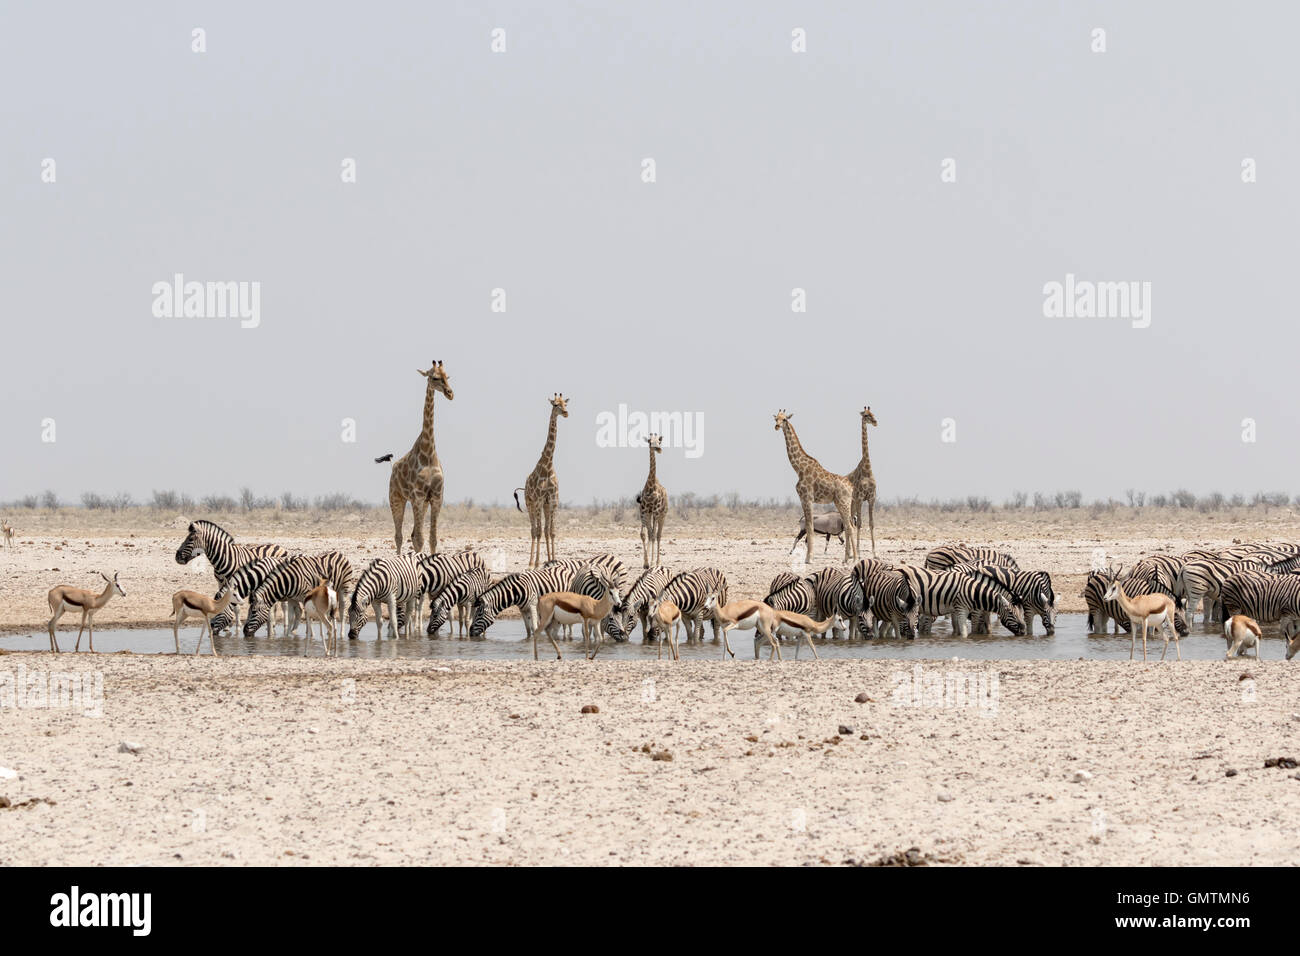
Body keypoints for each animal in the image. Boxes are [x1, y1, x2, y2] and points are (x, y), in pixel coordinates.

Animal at [379, 358, 452, 554]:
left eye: (447, 376)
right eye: (434, 378)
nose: (450, 393)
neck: (428, 452)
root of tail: (392, 466)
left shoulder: (436, 497)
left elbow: (432, 539)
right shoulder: (418, 496)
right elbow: (419, 540)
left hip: (421, 502)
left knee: (411, 535)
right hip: (396, 498)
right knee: (399, 536)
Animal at [512, 395, 569, 567]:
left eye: (565, 403)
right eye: (555, 404)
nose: (566, 413)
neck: (547, 466)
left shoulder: (552, 501)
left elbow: (551, 531)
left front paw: (552, 560)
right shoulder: (537, 501)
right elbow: (538, 532)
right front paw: (536, 563)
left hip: (544, 505)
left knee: (543, 530)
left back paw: (546, 560)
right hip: (530, 504)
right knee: (533, 530)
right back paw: (531, 562)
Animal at [774, 408, 857, 564]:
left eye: (785, 419)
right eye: (775, 418)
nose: (776, 426)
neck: (798, 469)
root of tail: (850, 486)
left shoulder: (806, 497)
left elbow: (810, 526)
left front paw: (809, 559)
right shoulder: (804, 499)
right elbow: (809, 526)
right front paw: (809, 557)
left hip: (843, 502)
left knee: (850, 527)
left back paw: (854, 558)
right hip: (842, 502)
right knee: (849, 526)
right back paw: (847, 558)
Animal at [894, 567, 1024, 634]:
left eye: (1021, 613)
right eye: (1011, 613)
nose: (1023, 631)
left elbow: (987, 628)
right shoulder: (974, 610)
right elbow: (973, 628)